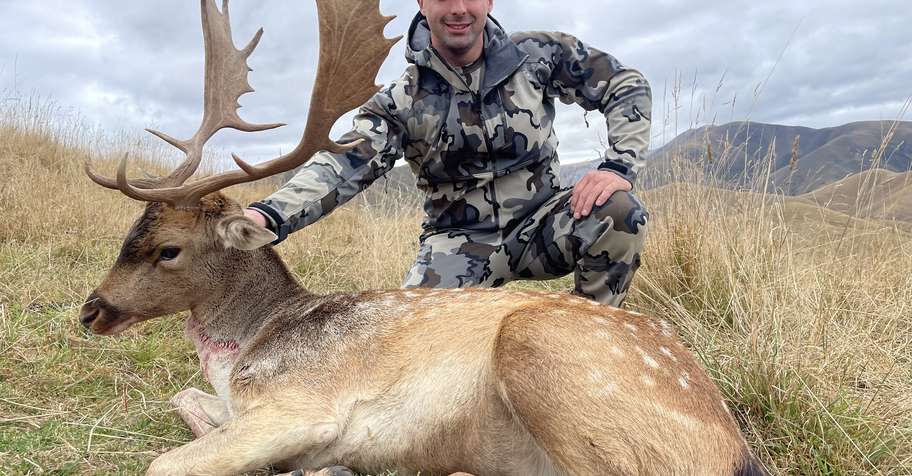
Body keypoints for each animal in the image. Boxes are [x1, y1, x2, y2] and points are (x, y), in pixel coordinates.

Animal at [78, 0, 767, 475]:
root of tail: (733, 445)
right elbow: (183, 398)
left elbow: (164, 462)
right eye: (129, 232)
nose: (91, 310)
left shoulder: (302, 405)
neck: (249, 349)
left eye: (167, 249)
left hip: (544, 349)